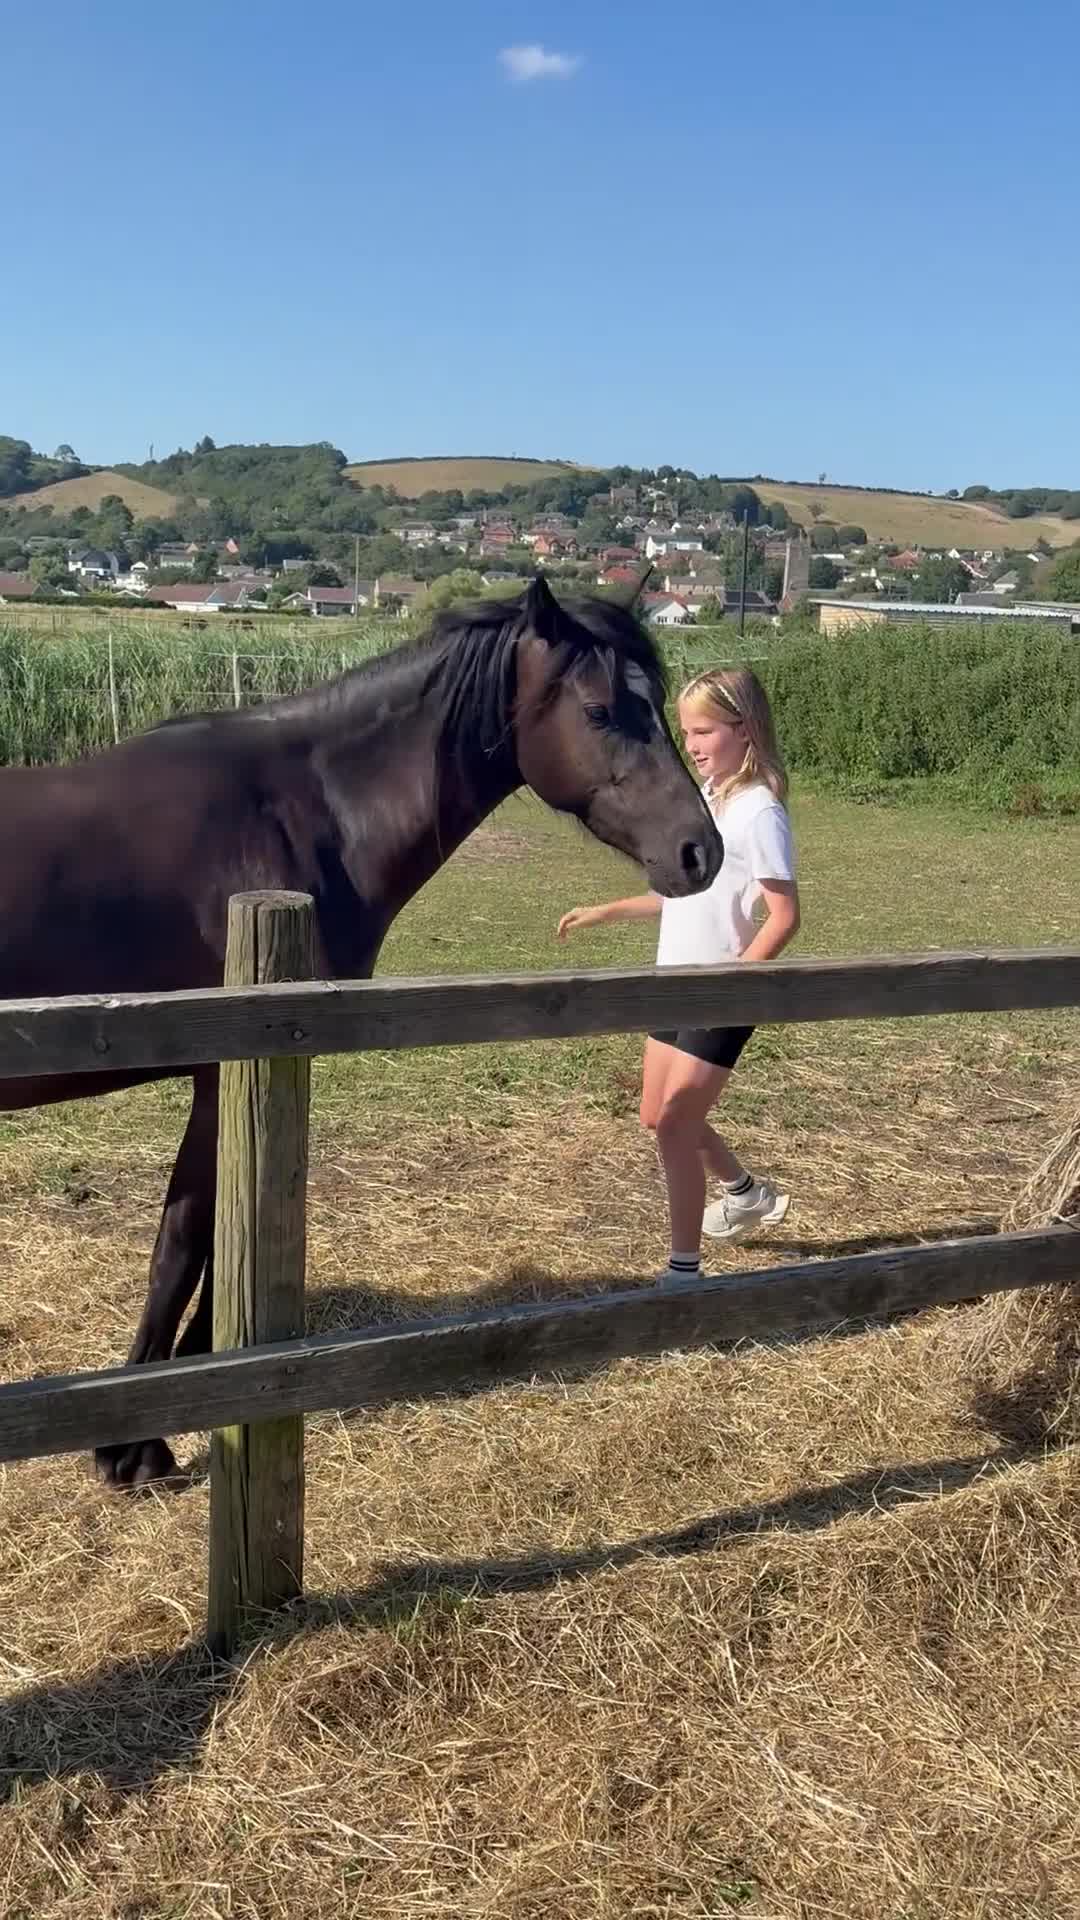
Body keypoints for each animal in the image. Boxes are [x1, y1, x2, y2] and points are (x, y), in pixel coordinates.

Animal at [0, 574, 722, 1488]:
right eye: (598, 711)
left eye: (655, 703)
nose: (700, 850)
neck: (297, 811)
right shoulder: (224, 1065)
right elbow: (189, 1239)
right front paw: (139, 1439)